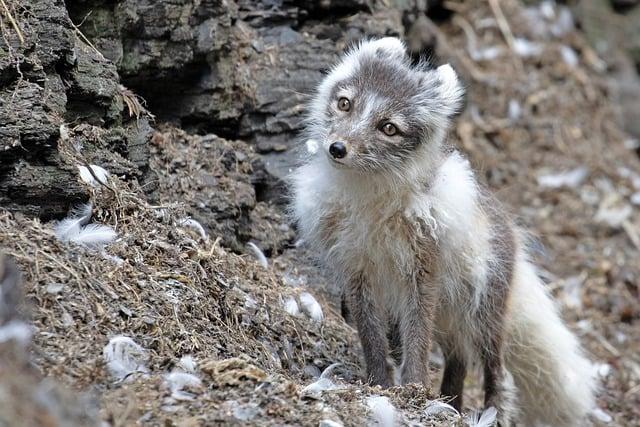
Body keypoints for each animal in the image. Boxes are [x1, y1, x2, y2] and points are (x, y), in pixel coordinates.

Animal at [292, 38, 596, 426]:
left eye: (388, 127)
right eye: (345, 103)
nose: (337, 148)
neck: (369, 200)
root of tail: (508, 226)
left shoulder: (422, 269)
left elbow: (417, 336)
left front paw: (414, 389)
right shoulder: (357, 270)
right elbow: (371, 335)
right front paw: (379, 384)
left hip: (484, 312)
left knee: (497, 369)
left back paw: (490, 413)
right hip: (451, 316)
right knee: (458, 358)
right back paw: (450, 402)